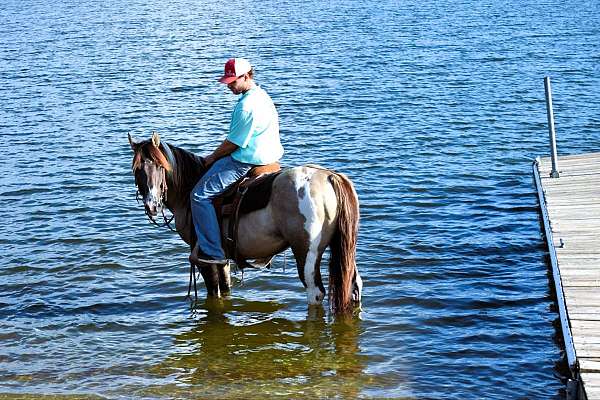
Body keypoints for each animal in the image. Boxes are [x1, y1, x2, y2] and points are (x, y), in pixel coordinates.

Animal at [129, 133, 360, 314]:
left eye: (160, 166)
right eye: (136, 169)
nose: (152, 204)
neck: (188, 190)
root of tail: (330, 177)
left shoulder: (203, 258)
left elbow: (215, 295)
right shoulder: (222, 258)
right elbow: (225, 288)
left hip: (306, 253)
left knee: (315, 293)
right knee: (354, 285)